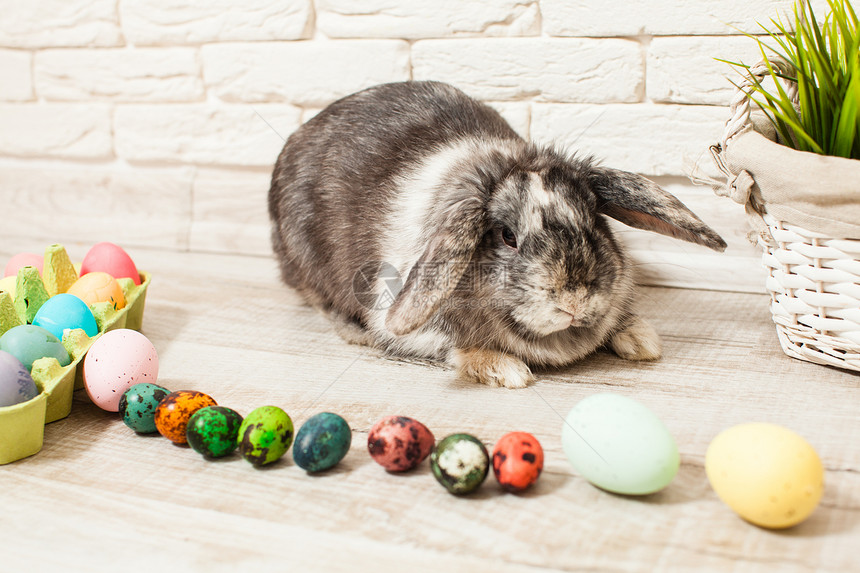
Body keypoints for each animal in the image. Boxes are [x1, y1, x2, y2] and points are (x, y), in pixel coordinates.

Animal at [268, 81, 724, 388]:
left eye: (595, 222)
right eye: (506, 236)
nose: (574, 300)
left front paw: (642, 340)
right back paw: (354, 332)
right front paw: (509, 371)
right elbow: (457, 350)